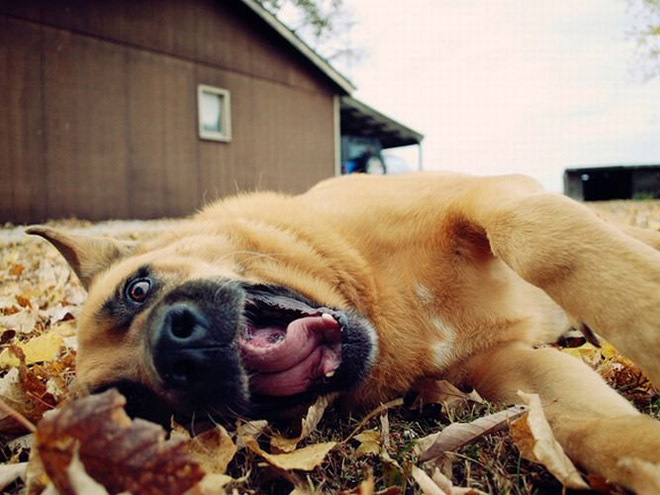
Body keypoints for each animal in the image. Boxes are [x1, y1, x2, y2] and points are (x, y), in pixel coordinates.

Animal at [28, 172, 660, 490]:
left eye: (137, 290)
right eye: (139, 407)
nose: (177, 352)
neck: (374, 302)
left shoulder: (491, 198)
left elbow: (551, 250)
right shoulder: (510, 369)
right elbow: (597, 432)